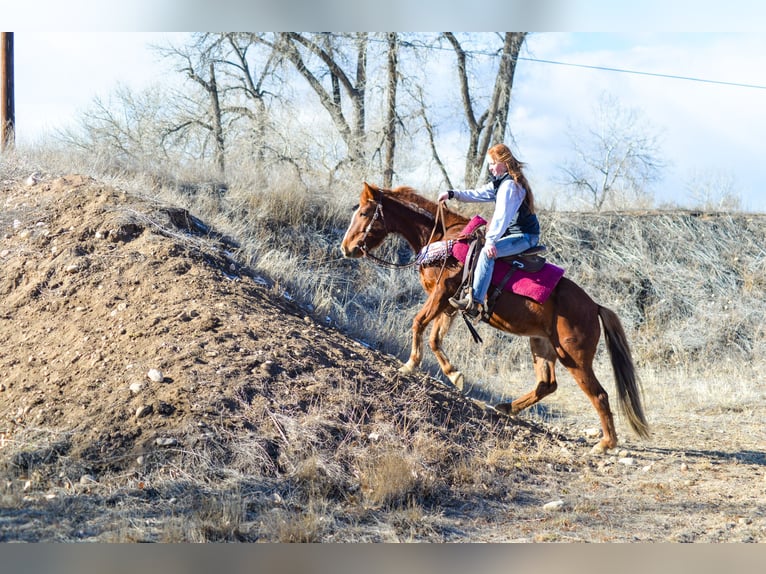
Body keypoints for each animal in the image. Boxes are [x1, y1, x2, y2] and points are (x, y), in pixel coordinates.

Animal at [340, 182, 650, 453]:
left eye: (365, 213)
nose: (346, 248)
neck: (443, 237)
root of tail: (594, 306)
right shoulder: (450, 305)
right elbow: (435, 338)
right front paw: (454, 375)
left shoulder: (441, 293)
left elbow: (419, 323)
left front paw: (410, 365)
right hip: (542, 345)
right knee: (546, 384)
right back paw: (505, 407)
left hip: (574, 357)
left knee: (599, 394)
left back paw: (605, 444)